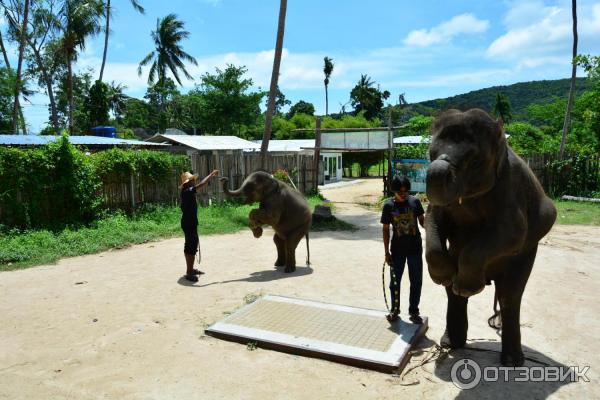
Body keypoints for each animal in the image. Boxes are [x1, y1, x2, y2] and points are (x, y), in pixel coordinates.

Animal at [424, 108, 556, 366]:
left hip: (527, 253)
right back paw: (451, 342)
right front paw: (442, 277)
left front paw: (467, 288)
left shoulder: (510, 185)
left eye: (475, 161)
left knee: (510, 295)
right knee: (452, 293)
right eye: (430, 154)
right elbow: (432, 218)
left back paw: (513, 361)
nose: (437, 167)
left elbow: (512, 231)